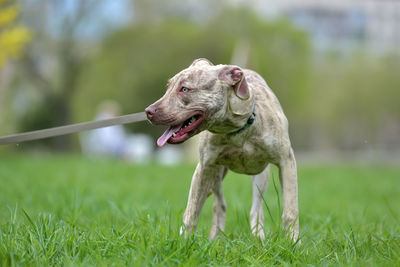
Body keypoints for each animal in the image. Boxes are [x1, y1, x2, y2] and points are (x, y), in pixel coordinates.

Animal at [145, 59, 298, 243]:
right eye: (168, 87)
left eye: (185, 89)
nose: (148, 111)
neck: (238, 130)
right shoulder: (203, 168)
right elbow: (192, 211)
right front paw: (184, 241)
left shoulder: (286, 162)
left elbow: (290, 210)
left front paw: (294, 243)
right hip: (215, 174)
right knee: (220, 204)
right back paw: (215, 238)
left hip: (261, 176)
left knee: (256, 208)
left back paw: (257, 237)